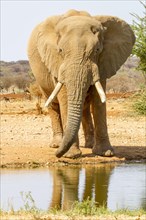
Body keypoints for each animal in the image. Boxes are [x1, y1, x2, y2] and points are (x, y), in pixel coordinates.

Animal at [27, 9, 136, 158]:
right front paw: (71, 155)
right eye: (60, 51)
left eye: (97, 50)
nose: (57, 154)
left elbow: (98, 100)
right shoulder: (57, 63)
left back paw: (88, 145)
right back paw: (57, 144)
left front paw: (106, 153)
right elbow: (65, 98)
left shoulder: (103, 62)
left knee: (84, 106)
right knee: (53, 104)